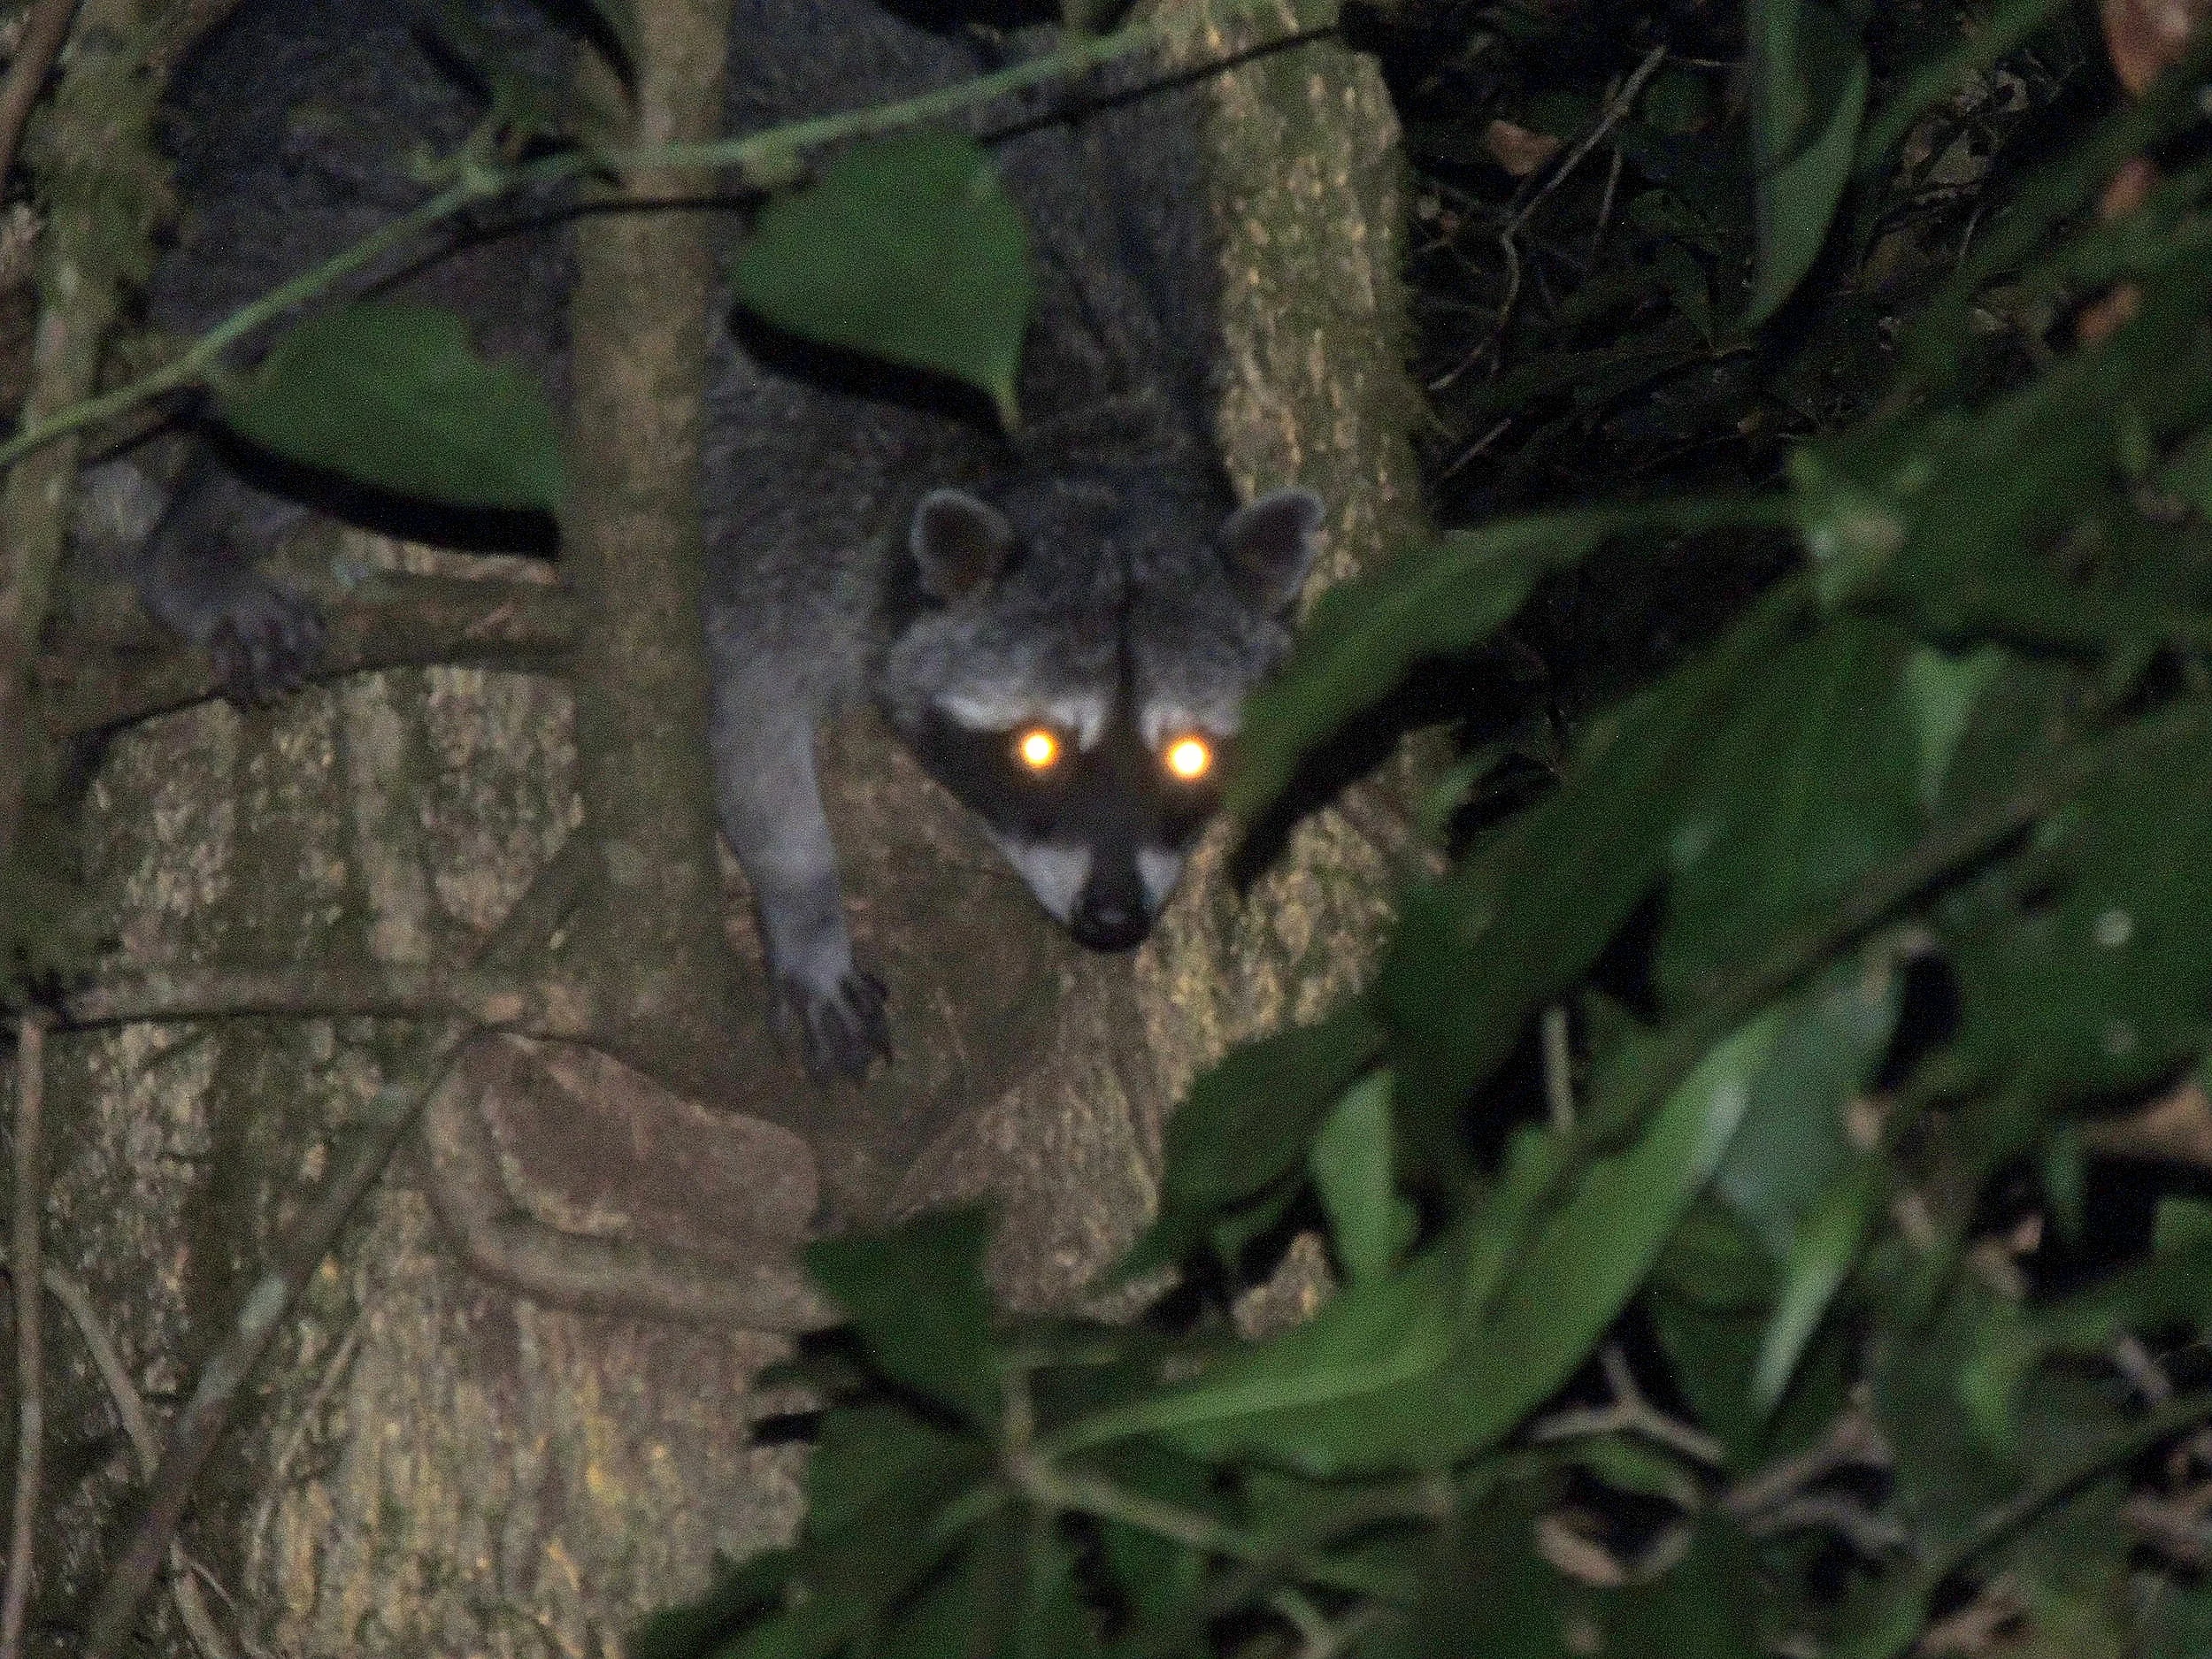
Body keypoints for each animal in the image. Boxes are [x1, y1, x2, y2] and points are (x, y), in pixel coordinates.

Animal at [97, 0, 1323, 1080]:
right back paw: (188, 550)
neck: (1061, 435)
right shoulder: (798, 489)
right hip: (336, 205)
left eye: (1189, 755)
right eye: (1035, 749)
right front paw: (804, 901)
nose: (1114, 919)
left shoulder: (1159, 247)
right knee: (363, 376)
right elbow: (738, 704)